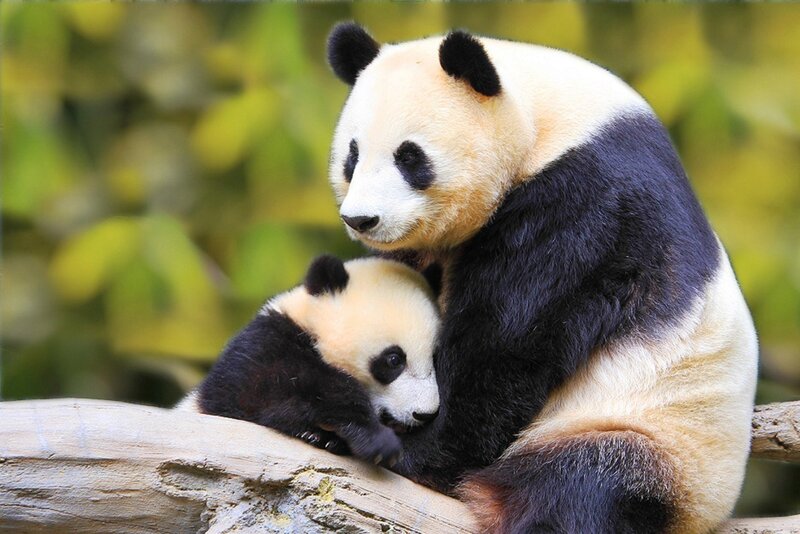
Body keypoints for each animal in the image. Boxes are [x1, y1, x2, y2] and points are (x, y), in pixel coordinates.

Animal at [177, 254, 441, 467]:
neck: (311, 327)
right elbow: (264, 392)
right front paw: (376, 440)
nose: (425, 414)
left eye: (434, 357)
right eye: (394, 360)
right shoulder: (261, 347)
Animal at [326, 23, 758, 534]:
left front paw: (409, 449)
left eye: (410, 158)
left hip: (653, 434)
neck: (545, 120)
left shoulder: (586, 202)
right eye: (352, 155)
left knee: (584, 487)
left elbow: (507, 341)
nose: (362, 219)